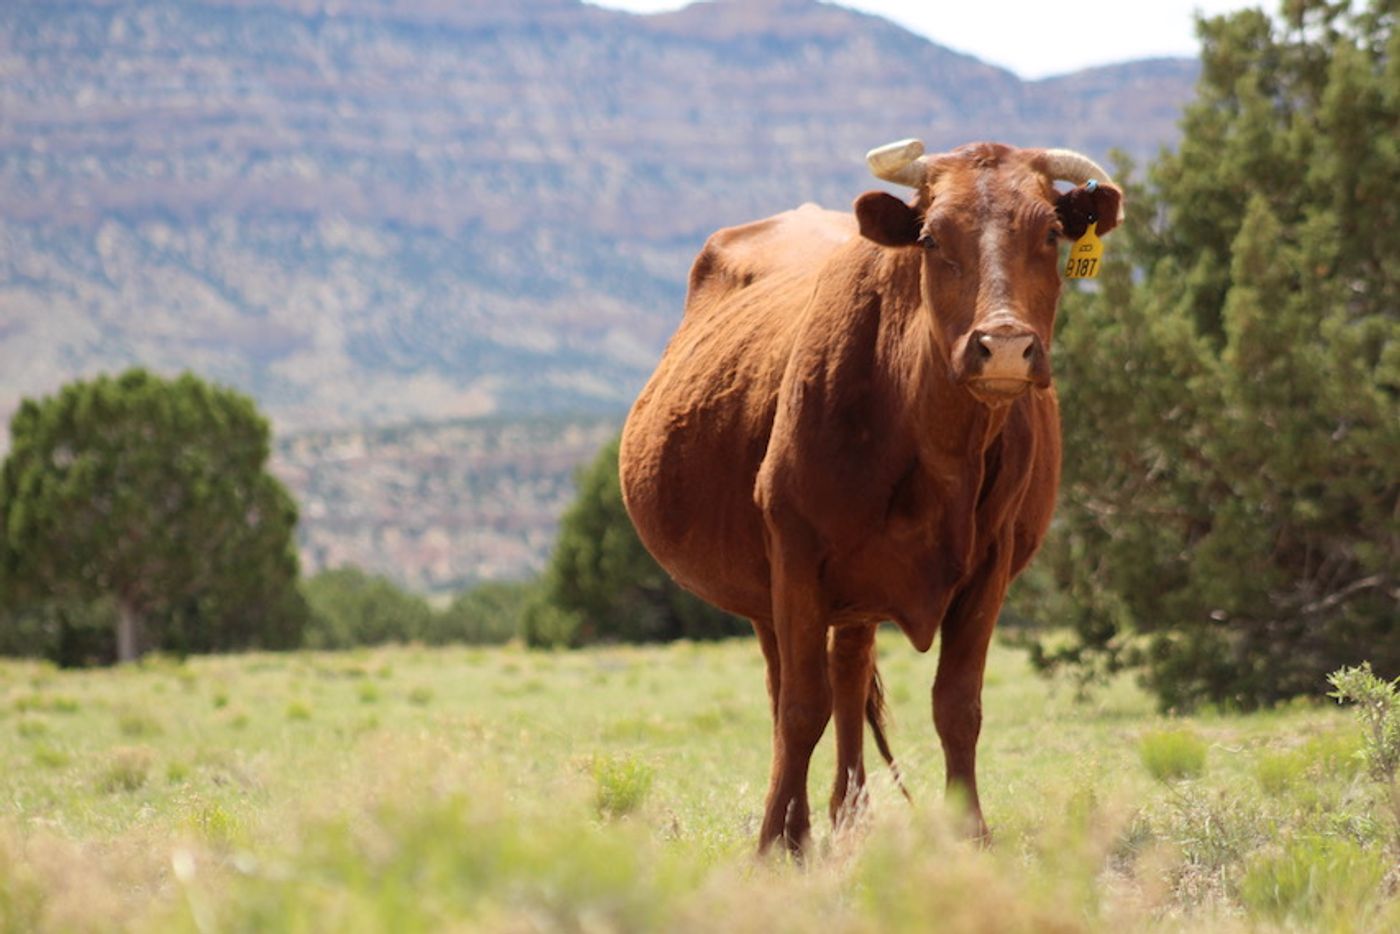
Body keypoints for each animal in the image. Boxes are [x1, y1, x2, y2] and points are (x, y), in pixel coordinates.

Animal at [618, 135, 1120, 856]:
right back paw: (799, 827)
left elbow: (957, 705)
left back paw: (849, 816)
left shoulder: (990, 568)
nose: (1004, 347)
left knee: (850, 679)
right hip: (769, 592)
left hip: (851, 599)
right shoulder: (795, 558)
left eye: (1051, 232)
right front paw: (772, 843)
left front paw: (971, 834)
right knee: (790, 690)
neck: (938, 447)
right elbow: (802, 709)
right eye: (932, 238)